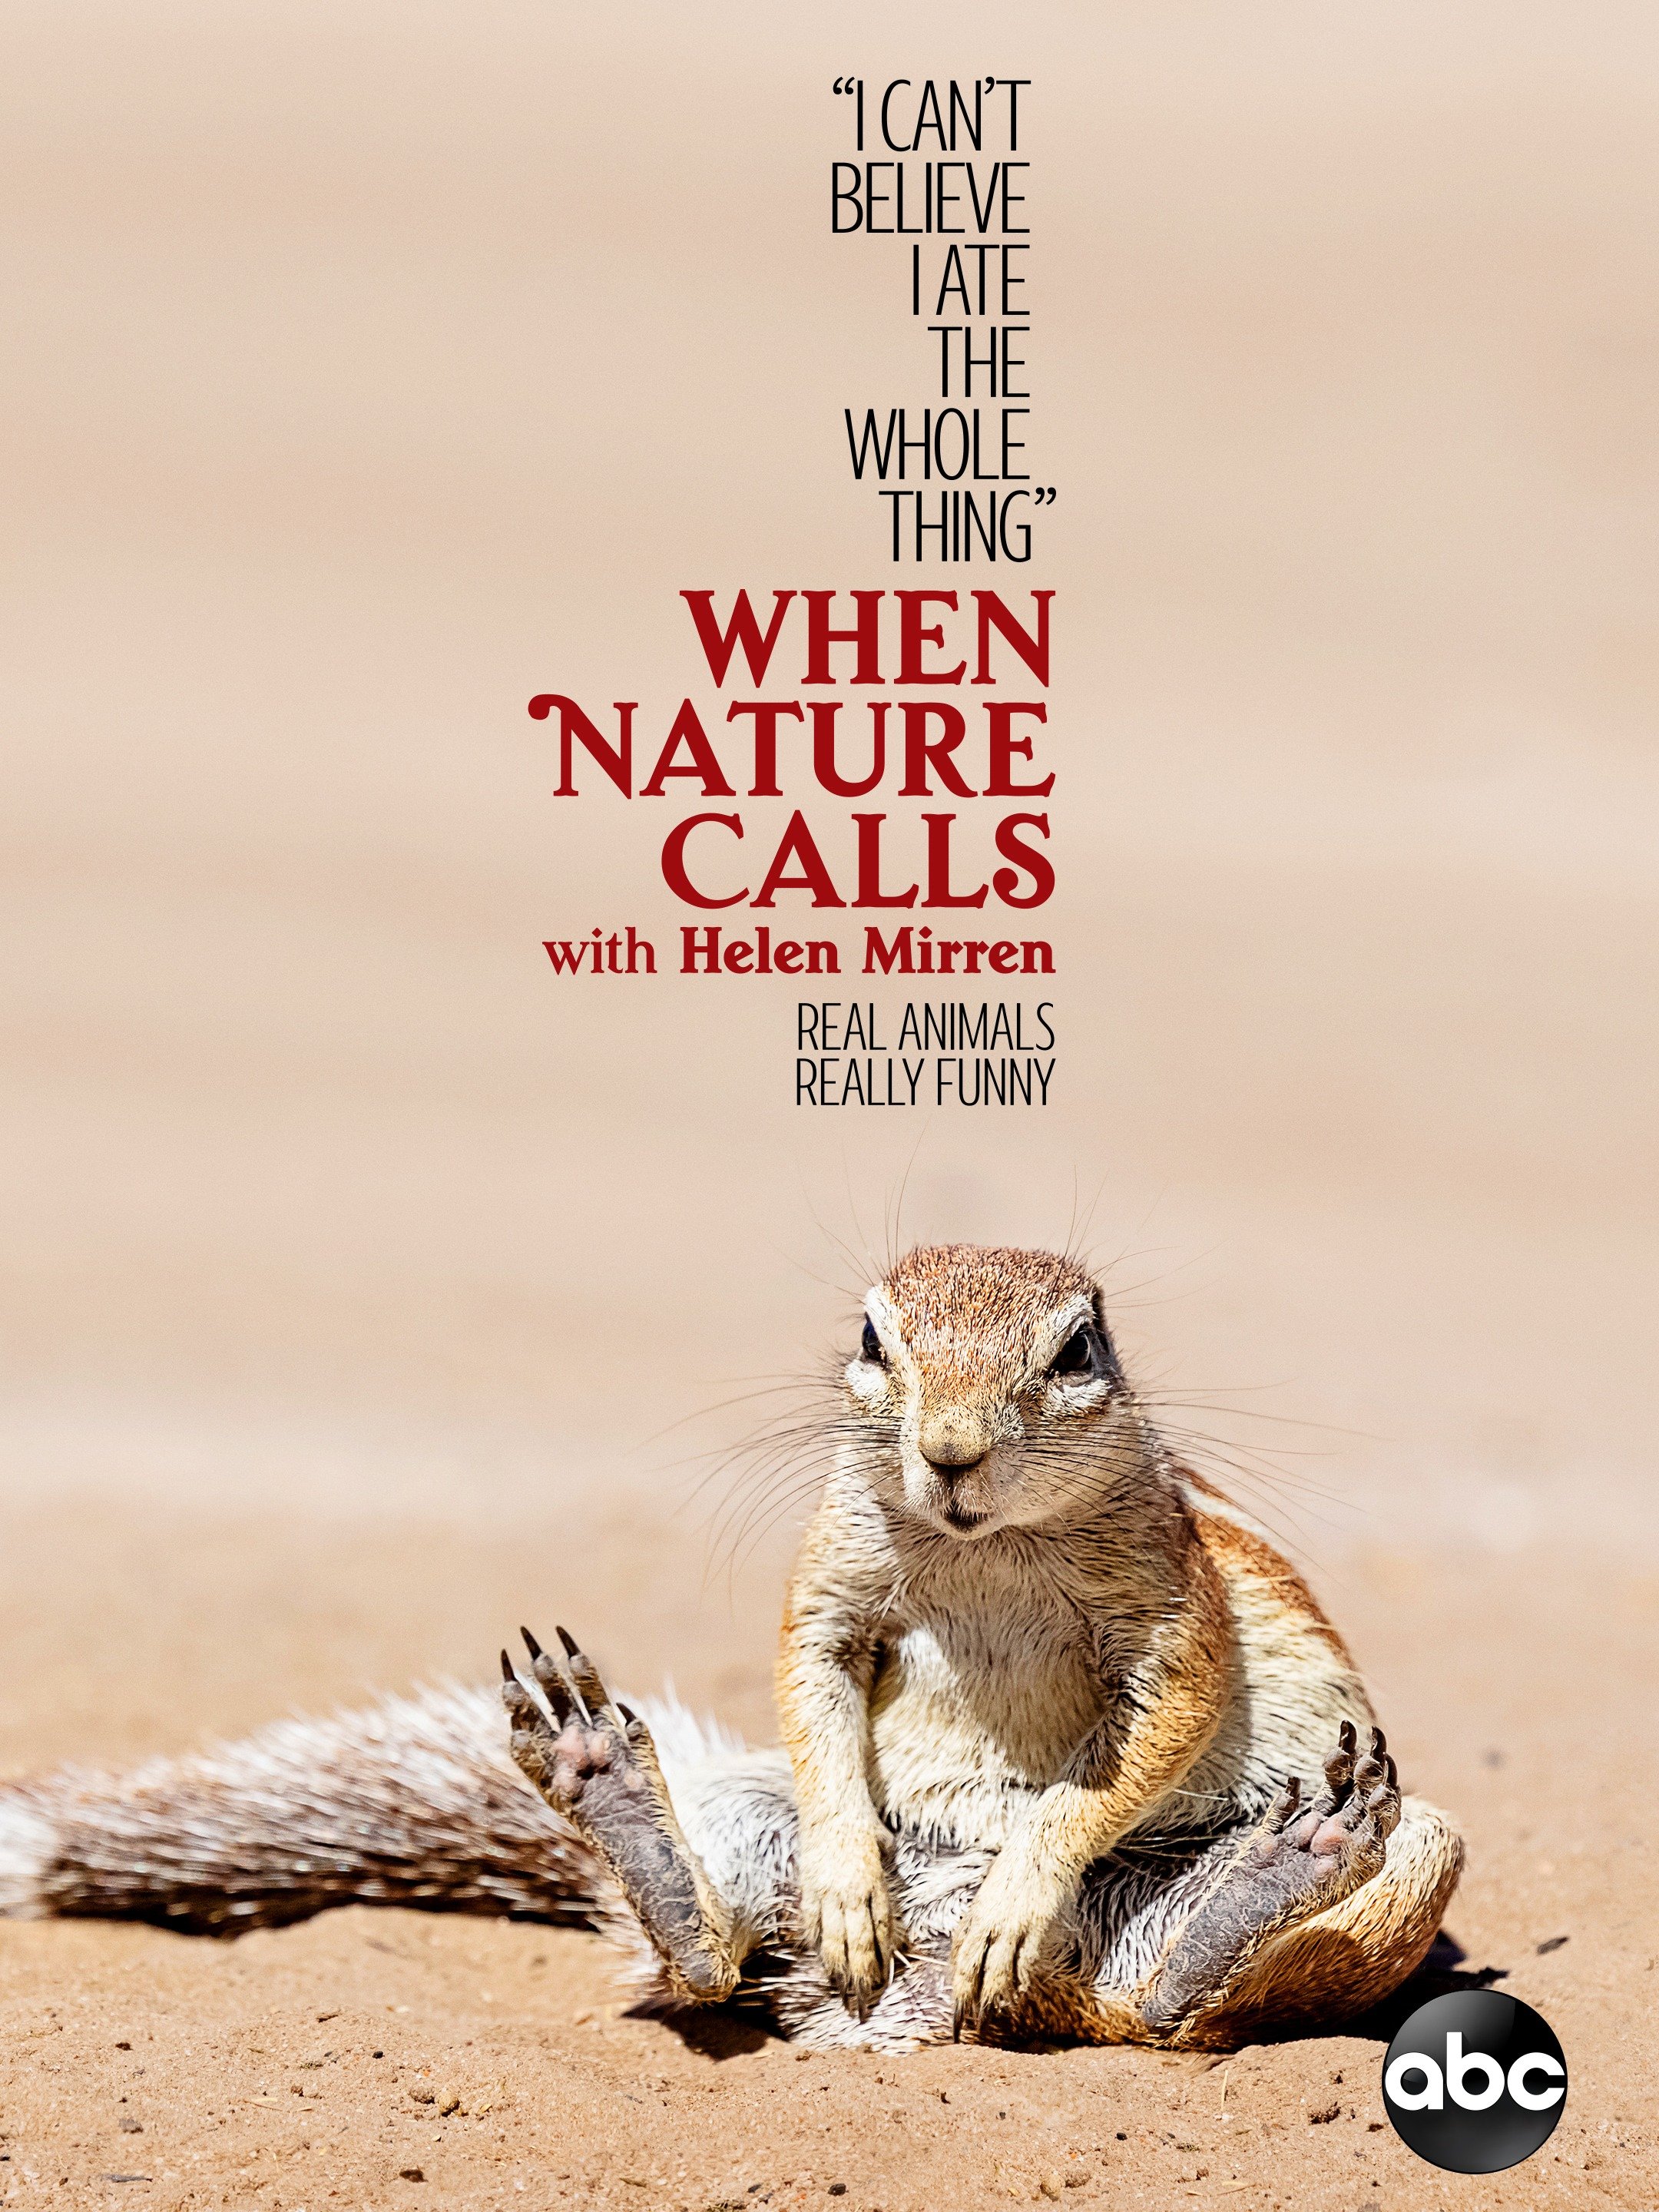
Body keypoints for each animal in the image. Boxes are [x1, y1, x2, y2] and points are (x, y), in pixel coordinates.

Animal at [0, 1244, 1462, 2051]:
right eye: (874, 1338)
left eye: (1078, 1350)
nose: (951, 1453)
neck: (982, 1550)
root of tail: (957, 2003)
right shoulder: (831, 1577)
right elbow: (813, 1683)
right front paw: (848, 1877)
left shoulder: (1171, 1601)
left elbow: (1149, 1731)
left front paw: (1025, 1883)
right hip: (747, 1823)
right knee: (707, 1960)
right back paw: (616, 1795)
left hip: (1416, 1853)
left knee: (1173, 2014)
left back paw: (1262, 1878)